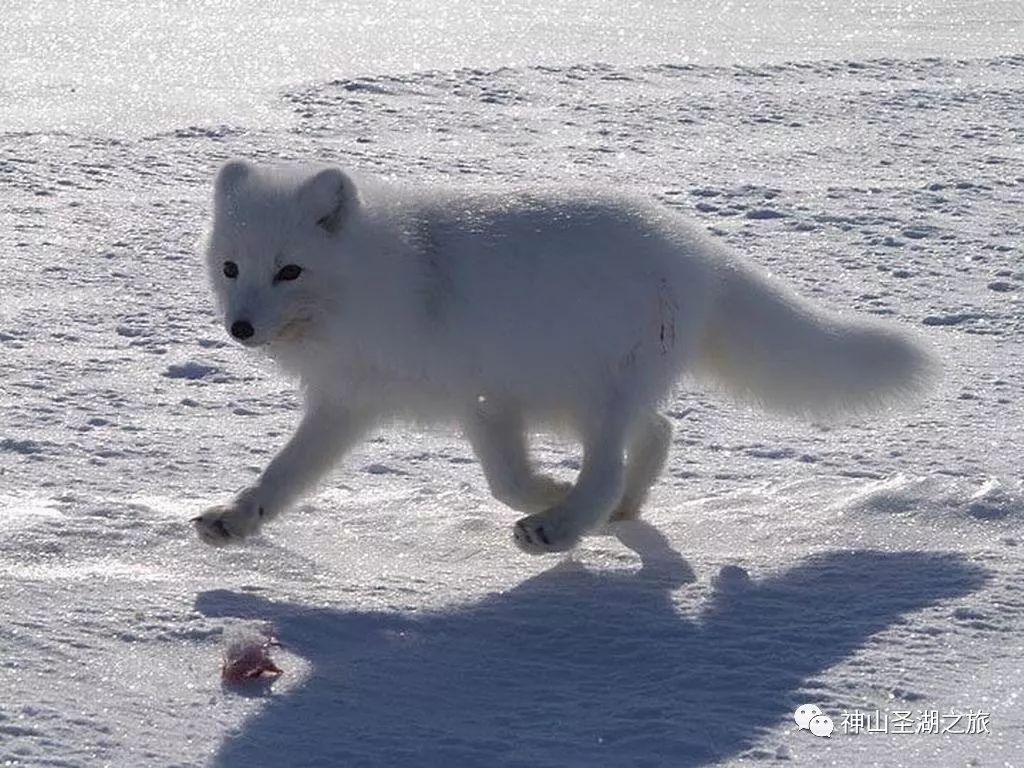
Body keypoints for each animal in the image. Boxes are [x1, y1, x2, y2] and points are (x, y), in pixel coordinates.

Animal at [190, 162, 937, 557]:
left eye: (289, 270)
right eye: (231, 268)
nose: (240, 328)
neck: (383, 282)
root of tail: (698, 250)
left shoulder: (486, 398)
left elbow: (508, 482)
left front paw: (548, 496)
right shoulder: (349, 402)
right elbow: (284, 474)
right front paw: (236, 518)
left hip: (593, 392)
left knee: (610, 465)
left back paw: (565, 523)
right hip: (580, 396)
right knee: (659, 432)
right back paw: (624, 511)